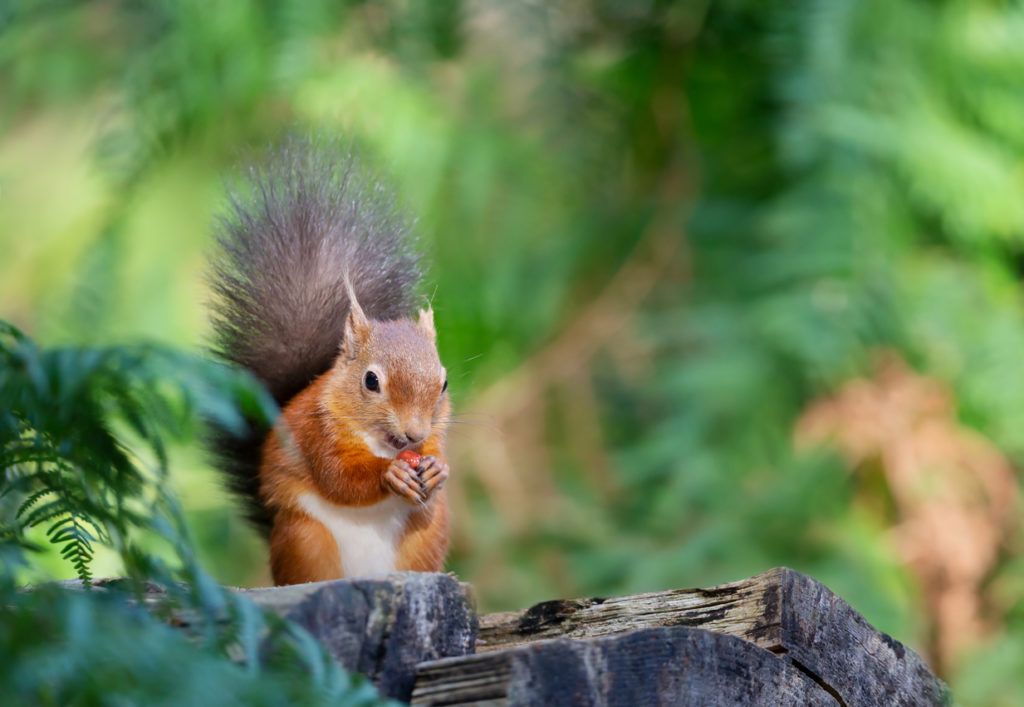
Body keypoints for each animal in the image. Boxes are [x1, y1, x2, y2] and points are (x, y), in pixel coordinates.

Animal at [205, 136, 450, 581]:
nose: (414, 434)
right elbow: (340, 479)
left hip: (426, 539)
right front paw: (388, 474)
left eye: (444, 383)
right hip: (306, 539)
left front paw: (438, 470)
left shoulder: (437, 434)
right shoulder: (316, 432)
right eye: (371, 380)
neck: (382, 443)